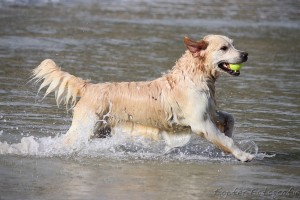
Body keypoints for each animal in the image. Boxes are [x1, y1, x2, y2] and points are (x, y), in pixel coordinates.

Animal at [31, 34, 253, 161]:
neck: (195, 77)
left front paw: (228, 134)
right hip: (85, 127)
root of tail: (89, 87)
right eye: (224, 48)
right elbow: (227, 141)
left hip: (99, 130)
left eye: (233, 44)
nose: (245, 54)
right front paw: (244, 155)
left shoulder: (210, 112)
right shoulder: (200, 123)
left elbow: (229, 119)